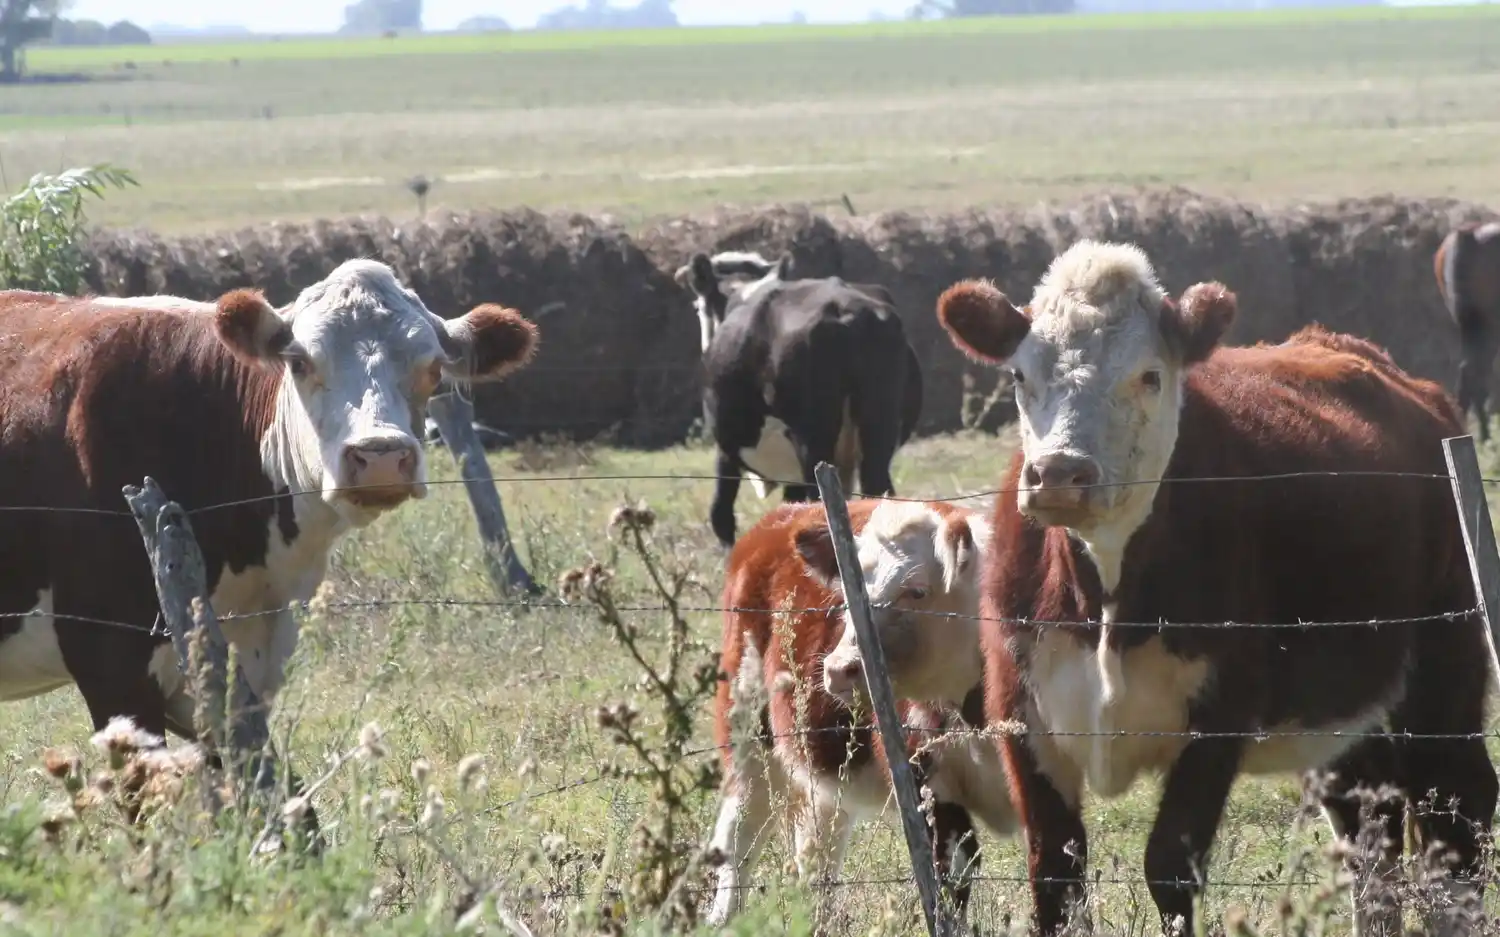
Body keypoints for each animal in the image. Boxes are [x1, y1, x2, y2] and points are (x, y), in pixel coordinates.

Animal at [680, 250, 925, 549]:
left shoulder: (726, 449)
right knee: (877, 494)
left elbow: (721, 516)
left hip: (812, 441)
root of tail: (846, 310)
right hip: (878, 431)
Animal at [704, 498, 1017, 928]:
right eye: (847, 598)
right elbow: (952, 881)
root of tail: (779, 518)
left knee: (817, 857)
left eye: (917, 590)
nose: (838, 669)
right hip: (748, 740)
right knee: (739, 842)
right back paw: (722, 919)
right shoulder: (927, 786)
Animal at [935, 239, 1496, 937]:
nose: (1059, 474)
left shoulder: (1218, 719)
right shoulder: (1023, 715)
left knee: (1455, 806)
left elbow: (1169, 868)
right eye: (1018, 376)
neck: (1105, 602)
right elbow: (1055, 877)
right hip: (1342, 704)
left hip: (1444, 662)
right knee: (1372, 826)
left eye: (1149, 374)